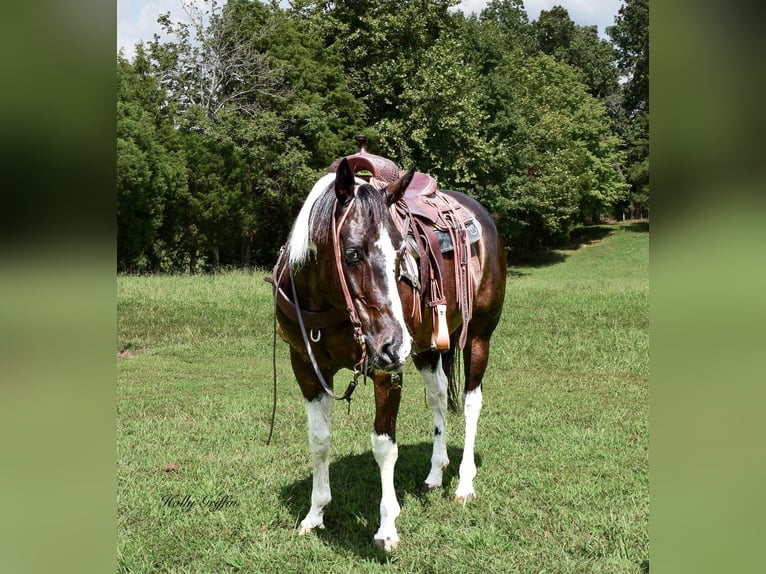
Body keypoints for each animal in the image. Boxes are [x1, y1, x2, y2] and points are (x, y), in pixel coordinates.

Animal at [272, 155, 508, 552]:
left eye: (402, 252)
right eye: (352, 253)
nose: (395, 344)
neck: (327, 304)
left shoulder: (386, 370)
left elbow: (384, 445)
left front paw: (387, 527)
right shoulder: (305, 366)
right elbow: (319, 441)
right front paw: (315, 515)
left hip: (477, 336)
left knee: (471, 401)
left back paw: (464, 483)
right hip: (426, 347)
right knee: (438, 397)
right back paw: (435, 474)